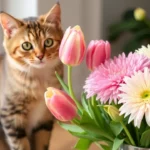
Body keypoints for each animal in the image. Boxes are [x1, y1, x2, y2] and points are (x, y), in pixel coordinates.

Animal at [0, 2, 63, 150]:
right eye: (26, 45)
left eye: (48, 42)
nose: (40, 56)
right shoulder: (10, 116)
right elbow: (20, 146)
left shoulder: (45, 118)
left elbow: (41, 143)